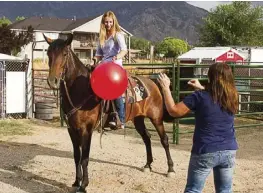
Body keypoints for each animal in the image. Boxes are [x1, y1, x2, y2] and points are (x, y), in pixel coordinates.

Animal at [43, 34, 175, 192]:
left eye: (64, 54)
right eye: (48, 53)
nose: (52, 81)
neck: (81, 91)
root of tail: (152, 82)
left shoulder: (86, 130)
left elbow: (84, 158)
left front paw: (84, 185)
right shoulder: (72, 130)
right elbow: (76, 156)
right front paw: (76, 181)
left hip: (156, 118)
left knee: (164, 140)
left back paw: (170, 169)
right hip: (138, 119)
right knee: (147, 138)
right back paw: (148, 165)